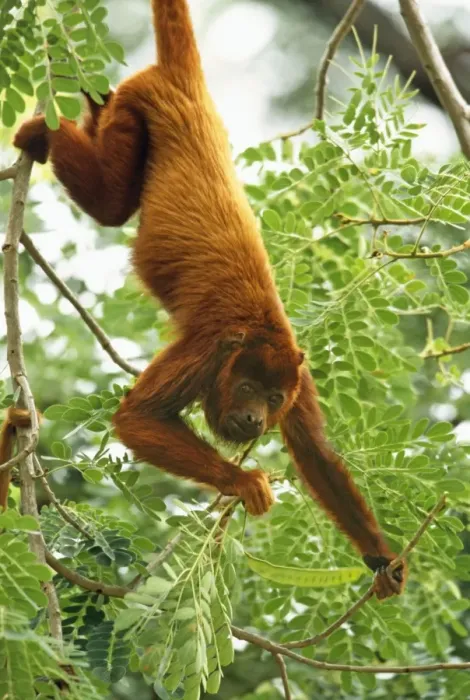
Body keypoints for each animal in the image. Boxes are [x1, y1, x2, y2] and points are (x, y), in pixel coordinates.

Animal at [13, 0, 405, 599]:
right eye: (245, 389)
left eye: (272, 398)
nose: (254, 420)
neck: (259, 333)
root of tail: (186, 84)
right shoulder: (209, 349)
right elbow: (137, 418)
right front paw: (243, 481)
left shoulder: (298, 372)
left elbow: (314, 451)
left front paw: (381, 557)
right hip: (137, 108)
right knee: (109, 202)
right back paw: (39, 130)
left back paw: (78, 106)